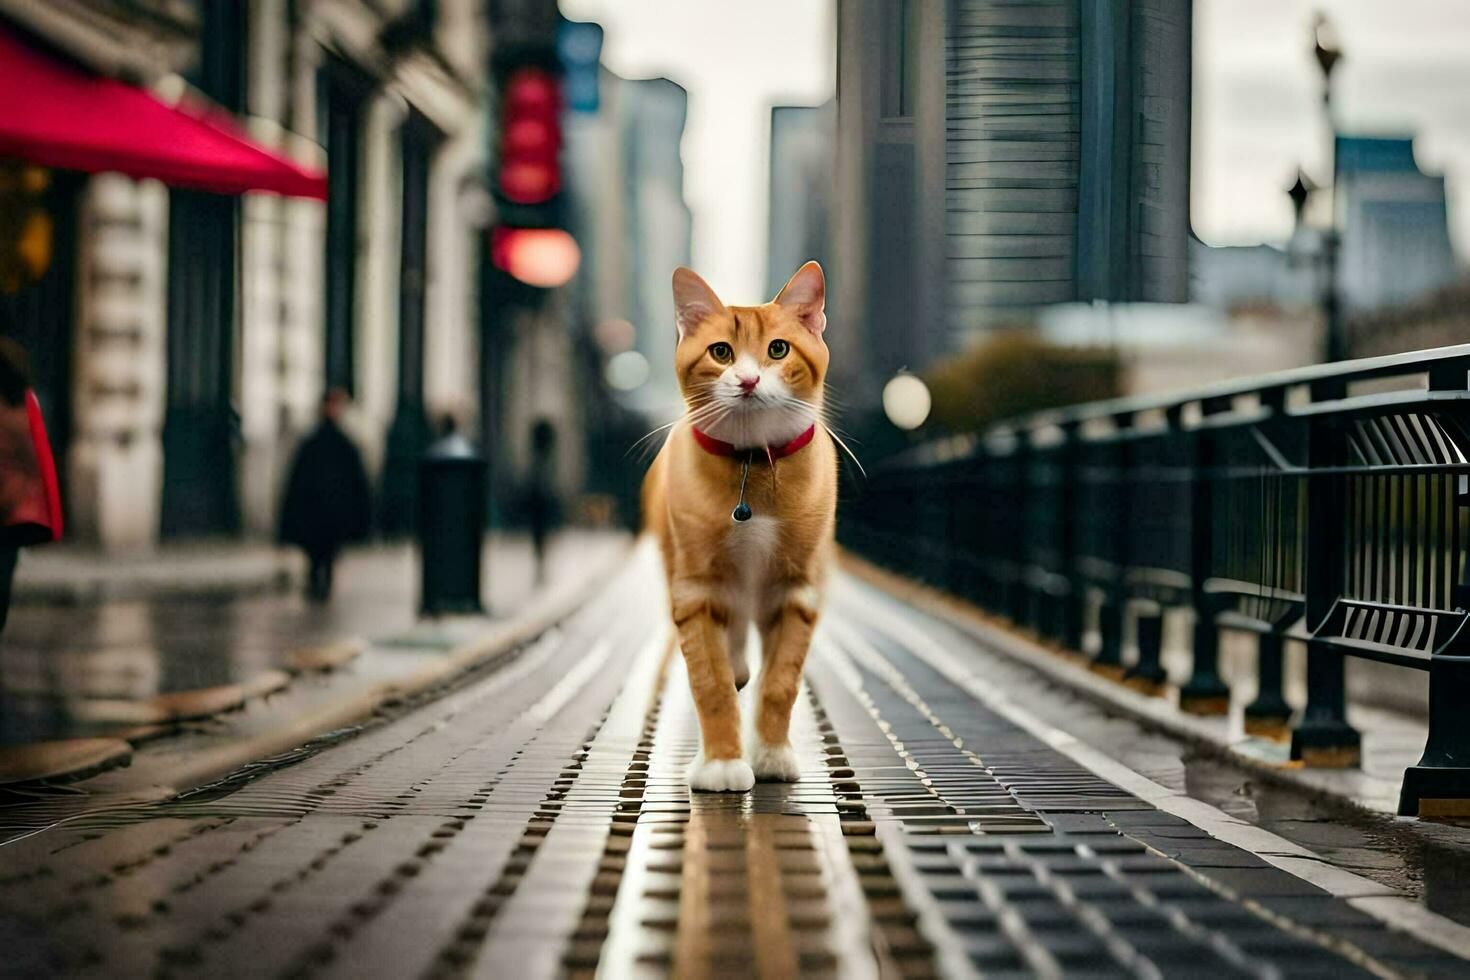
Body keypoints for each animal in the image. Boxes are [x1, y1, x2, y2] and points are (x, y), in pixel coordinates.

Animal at [646, 258, 840, 787]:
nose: (749, 380)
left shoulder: (797, 592)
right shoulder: (696, 592)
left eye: (778, 350)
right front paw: (722, 761)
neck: (751, 465)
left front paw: (770, 752)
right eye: (721, 352)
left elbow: (780, 683)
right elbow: (709, 683)